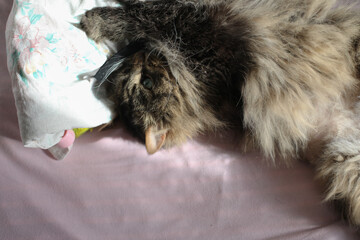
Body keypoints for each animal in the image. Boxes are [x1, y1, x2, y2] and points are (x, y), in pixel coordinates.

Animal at [81, 0, 360, 225]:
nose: (135, 58)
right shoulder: (208, 44)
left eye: (147, 82)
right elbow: (151, 14)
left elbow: (150, 9)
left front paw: (97, 18)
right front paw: (98, 19)